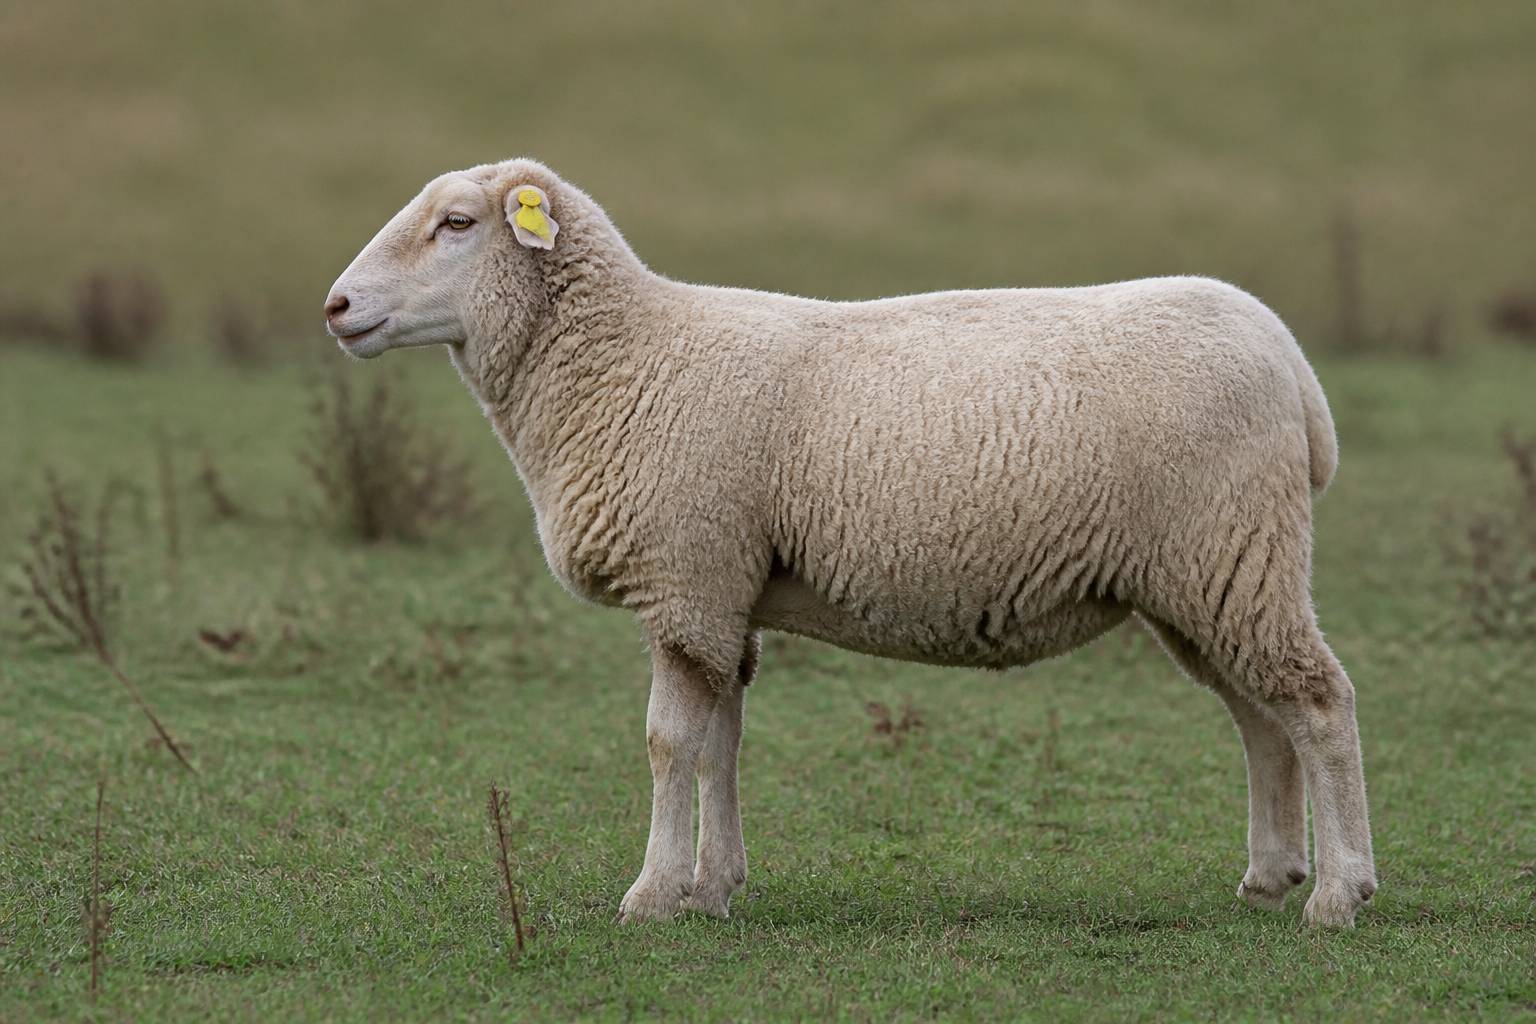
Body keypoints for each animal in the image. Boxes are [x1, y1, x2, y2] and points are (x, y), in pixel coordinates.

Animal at [323, 158, 1377, 928]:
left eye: (459, 224)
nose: (334, 307)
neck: (628, 360)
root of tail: (1289, 358)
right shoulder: (726, 589)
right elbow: (721, 742)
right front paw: (714, 887)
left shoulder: (687, 571)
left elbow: (669, 742)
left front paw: (653, 895)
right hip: (1204, 575)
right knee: (1259, 717)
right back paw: (1271, 874)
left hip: (1233, 550)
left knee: (1318, 701)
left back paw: (1339, 892)